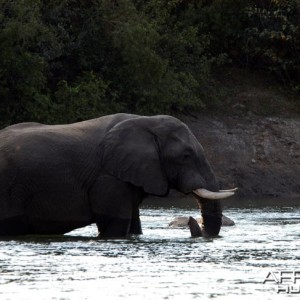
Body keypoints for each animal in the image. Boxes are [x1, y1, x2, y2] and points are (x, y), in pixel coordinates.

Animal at [0, 113, 237, 238]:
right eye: (186, 155)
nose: (190, 220)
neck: (147, 121)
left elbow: (134, 224)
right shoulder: (108, 179)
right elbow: (114, 225)